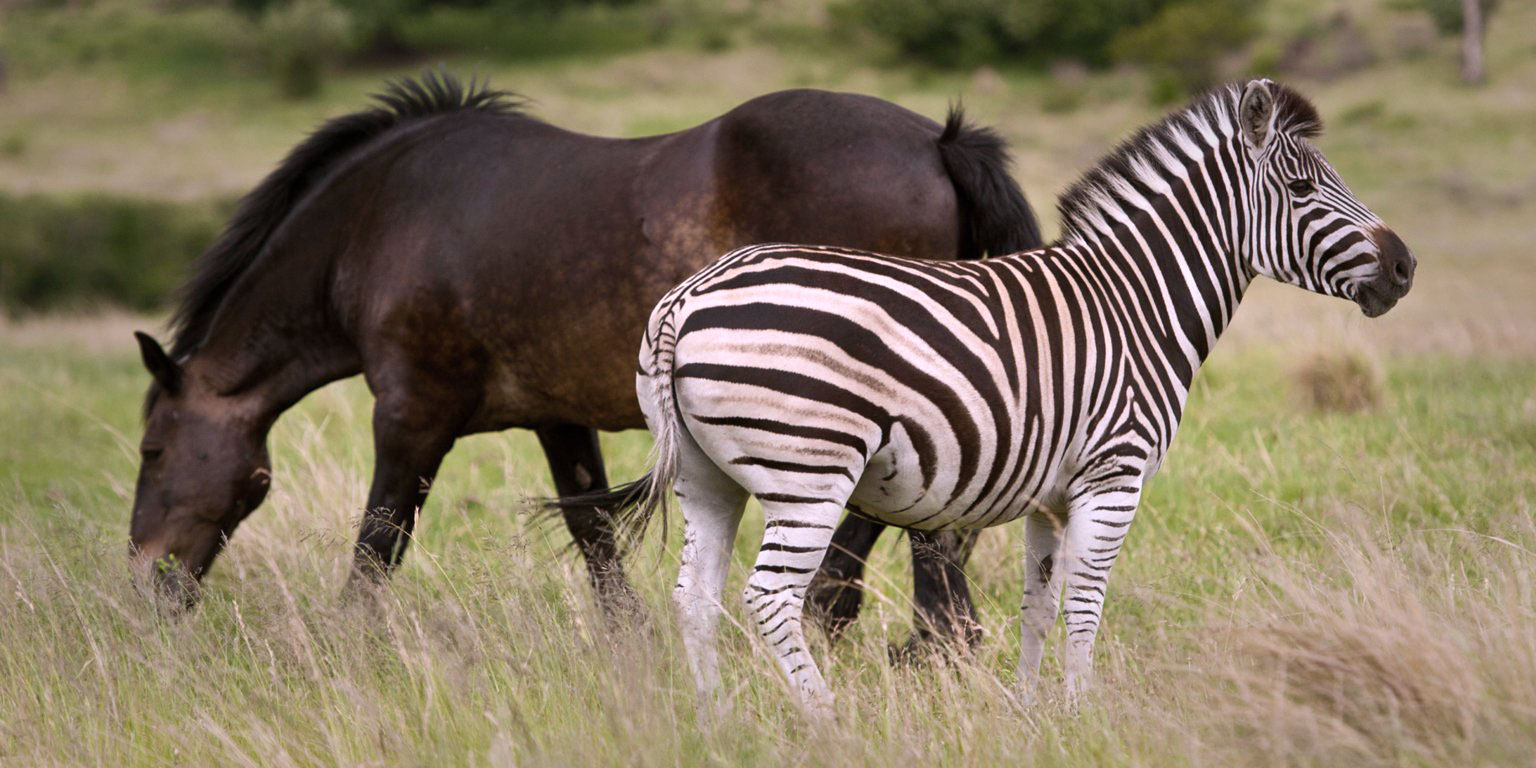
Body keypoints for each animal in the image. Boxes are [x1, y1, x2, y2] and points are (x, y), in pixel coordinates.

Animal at [129, 73, 1041, 650]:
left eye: (152, 450)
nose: (147, 584)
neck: (378, 221)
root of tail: (937, 142)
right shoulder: (556, 416)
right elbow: (592, 530)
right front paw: (631, 643)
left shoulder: (413, 414)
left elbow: (379, 537)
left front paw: (349, 639)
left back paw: (880, 626)